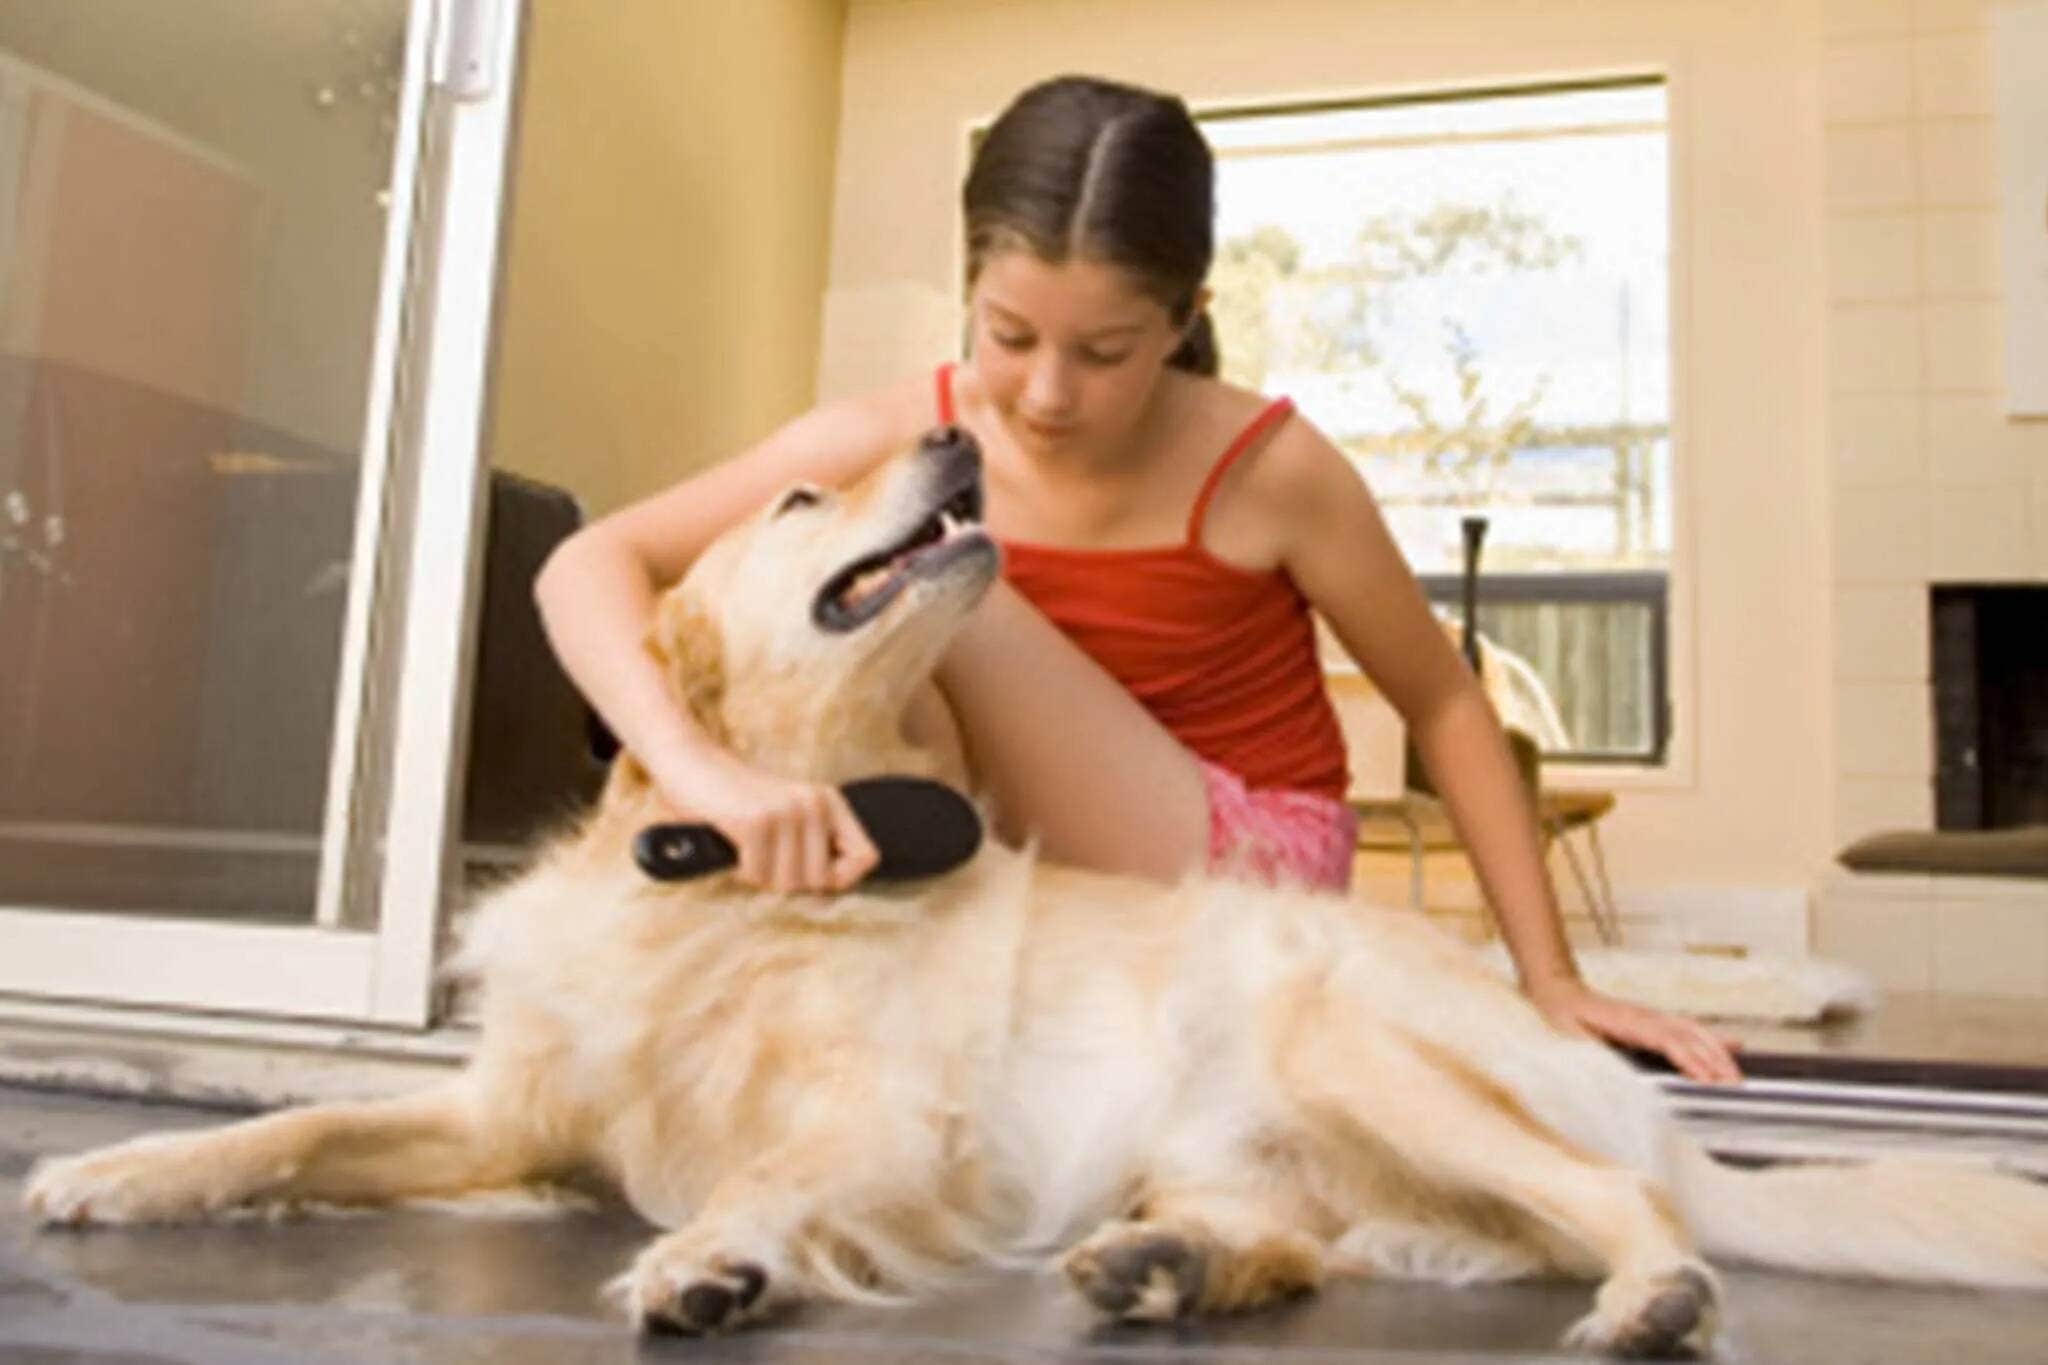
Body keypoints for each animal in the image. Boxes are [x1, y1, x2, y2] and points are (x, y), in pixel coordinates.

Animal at [24, 429, 2048, 1358]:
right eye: (796, 497)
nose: (954, 442)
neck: (734, 878)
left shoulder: (890, 1121)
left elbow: (765, 1175)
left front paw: (711, 1260)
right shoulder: (508, 1110)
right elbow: (297, 1127)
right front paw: (120, 1170)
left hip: (1343, 1038)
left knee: (1628, 1212)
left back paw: (1647, 1299)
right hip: (1270, 1148)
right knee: (1308, 1240)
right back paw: (1171, 1265)